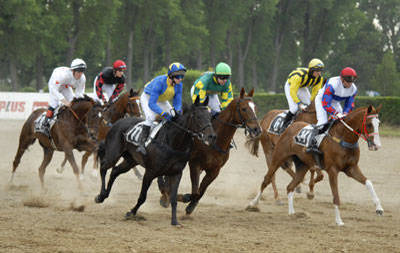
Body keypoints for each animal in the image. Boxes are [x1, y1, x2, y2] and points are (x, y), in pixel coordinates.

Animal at [94, 96, 216, 225]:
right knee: (103, 167)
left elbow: (174, 199)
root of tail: (117, 122)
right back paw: (100, 196)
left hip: (131, 161)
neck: (173, 143)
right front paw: (131, 212)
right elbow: (143, 197)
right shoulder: (150, 172)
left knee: (115, 171)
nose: (211, 136)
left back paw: (104, 195)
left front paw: (174, 221)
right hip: (113, 155)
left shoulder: (176, 173)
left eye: (210, 116)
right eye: (198, 116)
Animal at [163, 87, 260, 215]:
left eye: (255, 108)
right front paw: (182, 198)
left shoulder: (215, 170)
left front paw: (191, 205)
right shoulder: (195, 163)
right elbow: (194, 191)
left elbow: (200, 191)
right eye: (244, 109)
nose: (257, 129)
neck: (216, 141)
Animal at [247, 105, 384, 225]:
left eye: (379, 123)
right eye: (369, 124)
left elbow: (369, 183)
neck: (343, 138)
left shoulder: (351, 168)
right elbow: (336, 195)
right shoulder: (332, 170)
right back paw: (253, 204)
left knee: (290, 186)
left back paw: (292, 212)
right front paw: (339, 221)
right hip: (277, 156)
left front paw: (379, 208)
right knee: (268, 178)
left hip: (302, 165)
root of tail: (291, 126)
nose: (377, 146)